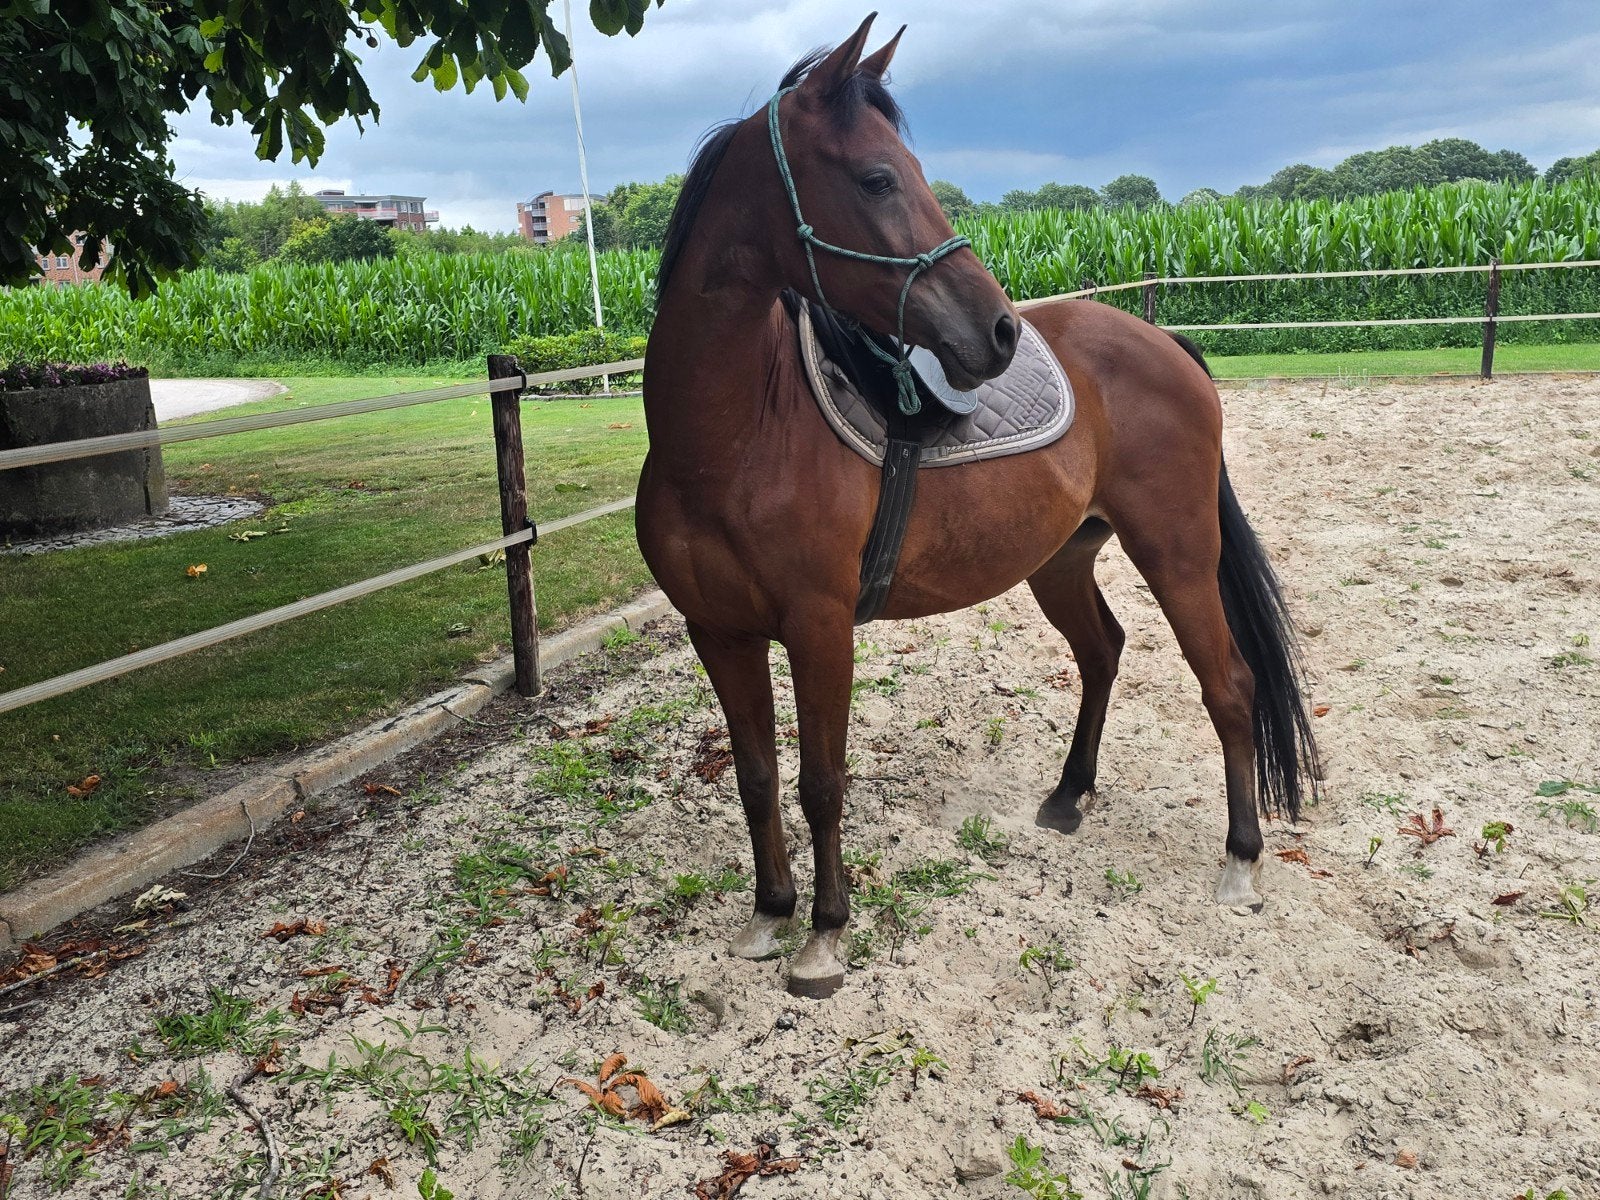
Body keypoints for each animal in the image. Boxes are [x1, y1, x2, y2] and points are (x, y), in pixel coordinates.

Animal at [636, 14, 1320, 999]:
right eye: (877, 178)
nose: (996, 332)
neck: (736, 436)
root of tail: (1165, 343)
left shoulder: (819, 626)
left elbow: (821, 782)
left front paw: (824, 937)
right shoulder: (717, 631)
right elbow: (757, 776)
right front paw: (769, 915)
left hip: (1178, 553)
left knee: (1228, 685)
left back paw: (1239, 861)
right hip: (1063, 560)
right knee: (1103, 653)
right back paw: (1069, 798)